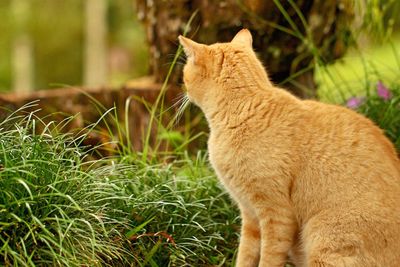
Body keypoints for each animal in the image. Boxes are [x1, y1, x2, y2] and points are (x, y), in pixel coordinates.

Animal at [179, 29, 400, 267]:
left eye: (184, 74)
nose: (183, 88)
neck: (245, 109)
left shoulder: (276, 214)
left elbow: (269, 258)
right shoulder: (249, 215)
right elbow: (245, 255)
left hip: (324, 237)